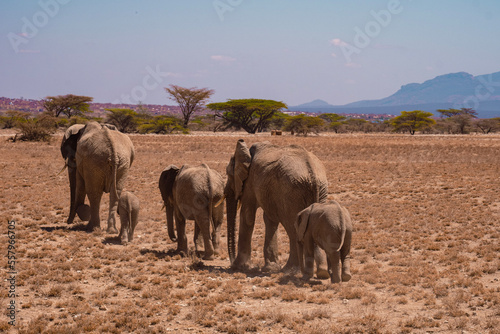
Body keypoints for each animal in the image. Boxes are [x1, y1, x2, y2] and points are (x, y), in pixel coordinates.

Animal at [225, 139, 330, 276]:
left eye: (228, 174)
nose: (231, 262)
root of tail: (311, 172)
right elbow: (269, 219)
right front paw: (270, 268)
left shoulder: (250, 183)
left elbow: (248, 216)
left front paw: (239, 267)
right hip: (320, 191)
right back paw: (322, 272)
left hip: (291, 192)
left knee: (292, 228)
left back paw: (290, 270)